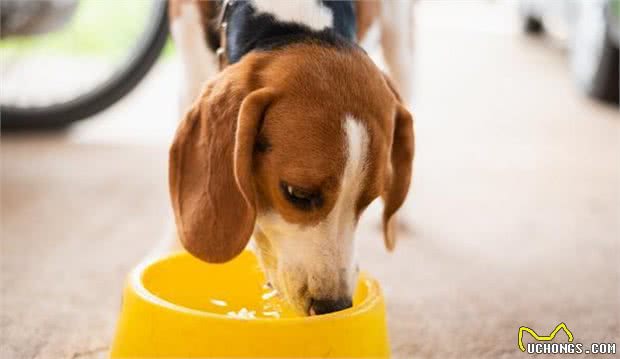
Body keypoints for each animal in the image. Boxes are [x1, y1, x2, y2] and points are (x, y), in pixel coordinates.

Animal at [167, 0, 414, 316]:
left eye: (369, 201)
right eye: (297, 194)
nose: (333, 306)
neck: (298, 22)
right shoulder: (190, 69)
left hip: (401, 41)